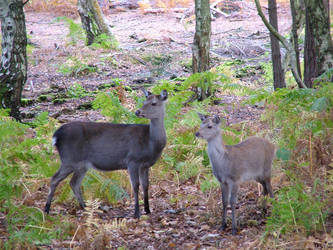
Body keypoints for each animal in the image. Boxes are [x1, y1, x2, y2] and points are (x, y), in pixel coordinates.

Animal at [44, 89, 169, 218]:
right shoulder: (132, 161)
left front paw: (148, 210)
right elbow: (135, 186)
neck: (150, 143)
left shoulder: (145, 165)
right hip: (69, 159)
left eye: (153, 103)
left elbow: (146, 185)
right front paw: (136, 213)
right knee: (54, 179)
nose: (137, 111)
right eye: (144, 101)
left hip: (81, 164)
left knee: (74, 183)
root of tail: (55, 136)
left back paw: (84, 207)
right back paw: (47, 209)